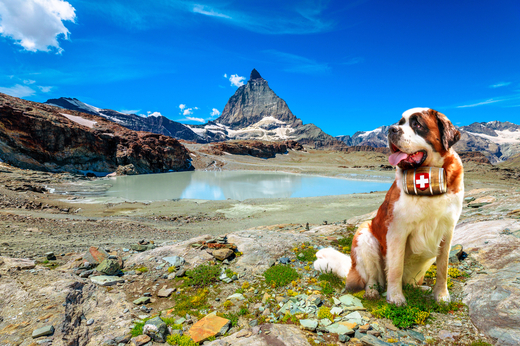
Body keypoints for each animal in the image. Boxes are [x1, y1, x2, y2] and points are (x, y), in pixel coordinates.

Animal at [314, 108, 466, 306]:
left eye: (417, 124)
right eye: (400, 123)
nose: (391, 129)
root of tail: (352, 271)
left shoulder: (447, 231)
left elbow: (443, 267)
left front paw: (441, 295)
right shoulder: (397, 231)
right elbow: (395, 267)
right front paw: (395, 297)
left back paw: (419, 288)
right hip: (365, 236)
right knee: (372, 278)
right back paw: (372, 292)